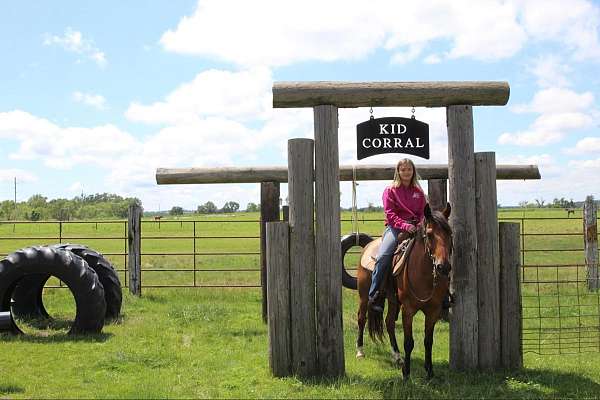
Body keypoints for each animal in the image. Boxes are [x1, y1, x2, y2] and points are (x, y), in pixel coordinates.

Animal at [354, 202, 452, 380]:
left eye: (450, 233)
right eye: (429, 234)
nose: (443, 267)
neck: (424, 274)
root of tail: (368, 246)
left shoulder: (433, 311)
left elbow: (428, 341)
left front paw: (429, 371)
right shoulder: (408, 310)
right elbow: (409, 342)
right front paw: (406, 373)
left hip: (393, 300)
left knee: (389, 323)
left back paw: (397, 356)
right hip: (364, 296)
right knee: (361, 319)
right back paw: (360, 351)